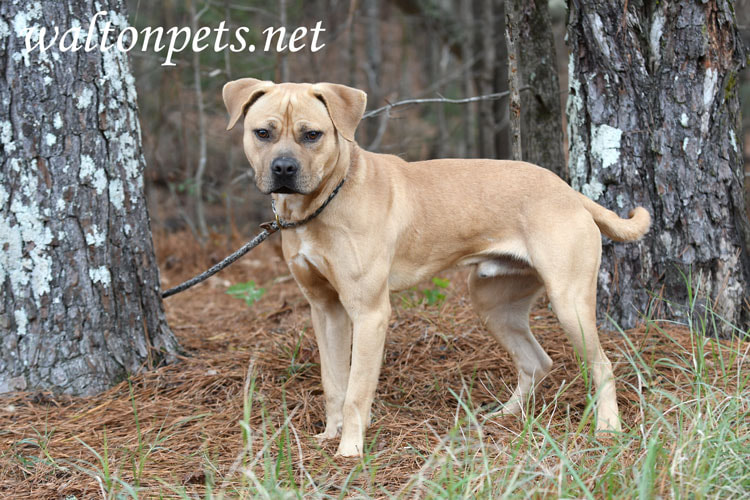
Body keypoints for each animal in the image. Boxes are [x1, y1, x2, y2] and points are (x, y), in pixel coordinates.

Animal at [222, 78, 652, 458]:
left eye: (312, 135)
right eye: (263, 133)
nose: (284, 169)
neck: (323, 201)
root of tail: (571, 194)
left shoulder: (369, 313)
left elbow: (357, 391)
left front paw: (349, 451)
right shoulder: (325, 309)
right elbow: (333, 383)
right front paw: (331, 435)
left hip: (569, 302)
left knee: (602, 365)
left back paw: (607, 428)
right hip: (493, 305)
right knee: (536, 361)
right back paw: (503, 417)